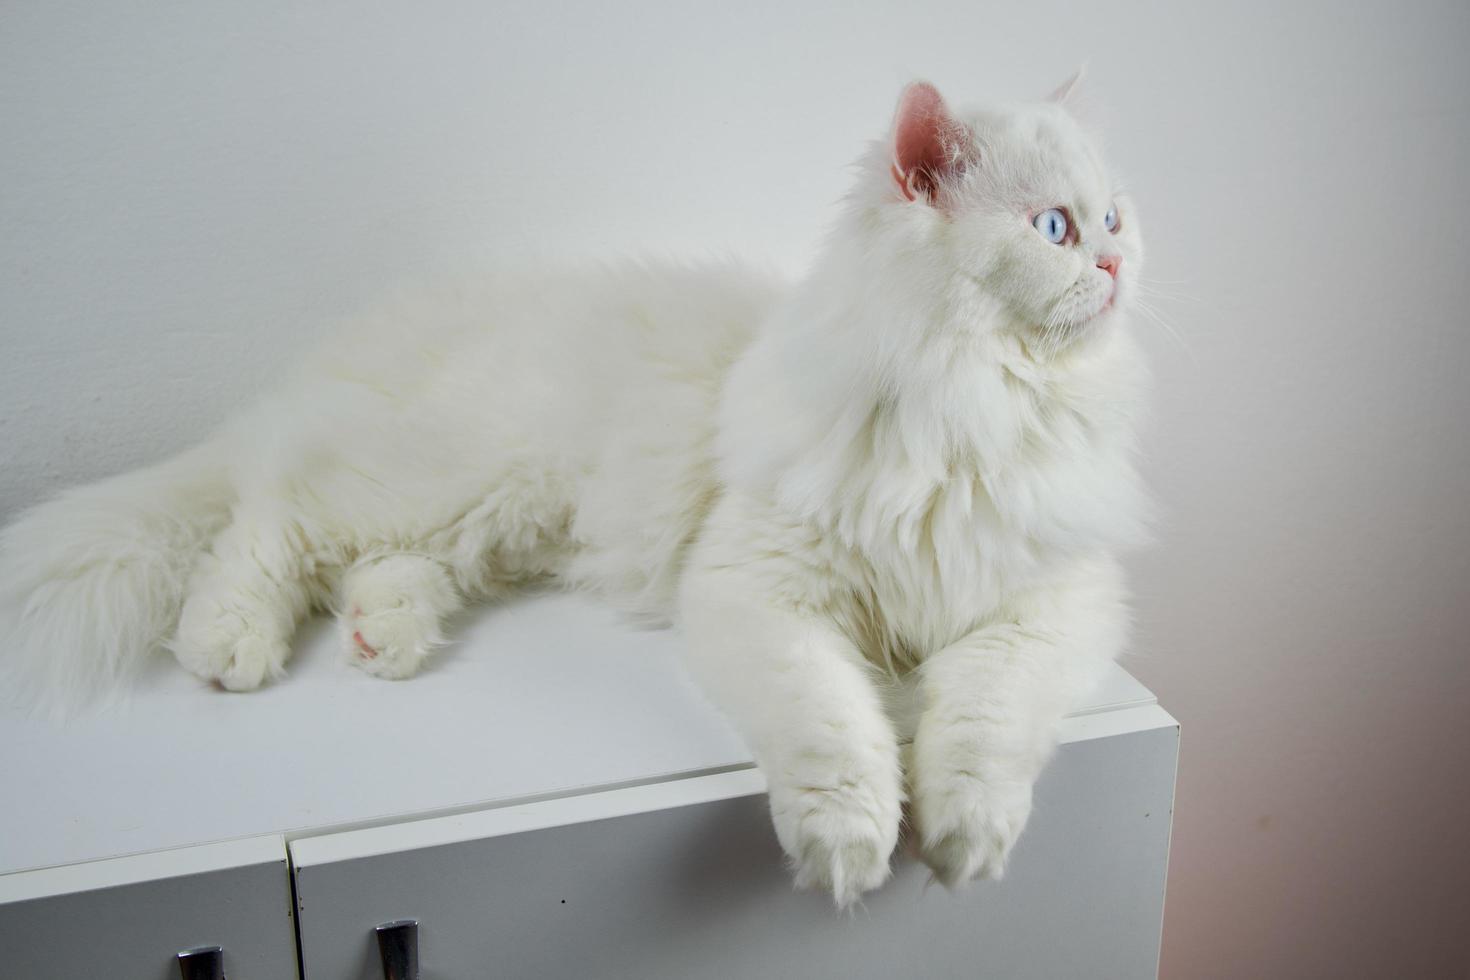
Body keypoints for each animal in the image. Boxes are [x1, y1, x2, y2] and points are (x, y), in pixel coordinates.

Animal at [0, 76, 1146, 905]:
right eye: (1054, 228)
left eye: (1117, 218)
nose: (1119, 267)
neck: (981, 412)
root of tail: (356, 345)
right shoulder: (761, 588)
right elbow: (832, 726)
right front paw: (849, 849)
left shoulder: (1048, 606)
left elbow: (986, 727)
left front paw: (965, 843)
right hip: (442, 472)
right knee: (270, 523)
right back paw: (229, 644)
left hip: (489, 514)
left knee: (369, 564)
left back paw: (383, 638)